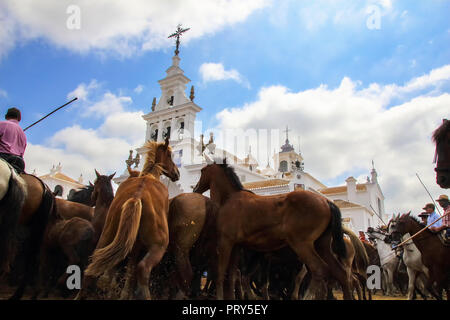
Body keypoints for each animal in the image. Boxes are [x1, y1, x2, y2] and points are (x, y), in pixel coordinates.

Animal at [76, 139, 179, 302]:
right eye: (170, 155)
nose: (176, 173)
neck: (149, 175)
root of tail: (137, 196)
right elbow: (132, 267)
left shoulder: (134, 243)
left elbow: (130, 267)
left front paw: (124, 293)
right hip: (160, 244)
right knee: (143, 268)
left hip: (107, 235)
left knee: (92, 266)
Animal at [193, 160, 352, 300]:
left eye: (202, 171)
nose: (195, 189)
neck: (230, 198)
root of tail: (326, 201)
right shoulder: (236, 246)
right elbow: (232, 275)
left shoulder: (226, 242)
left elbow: (220, 273)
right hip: (321, 246)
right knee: (341, 274)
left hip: (302, 245)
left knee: (319, 270)